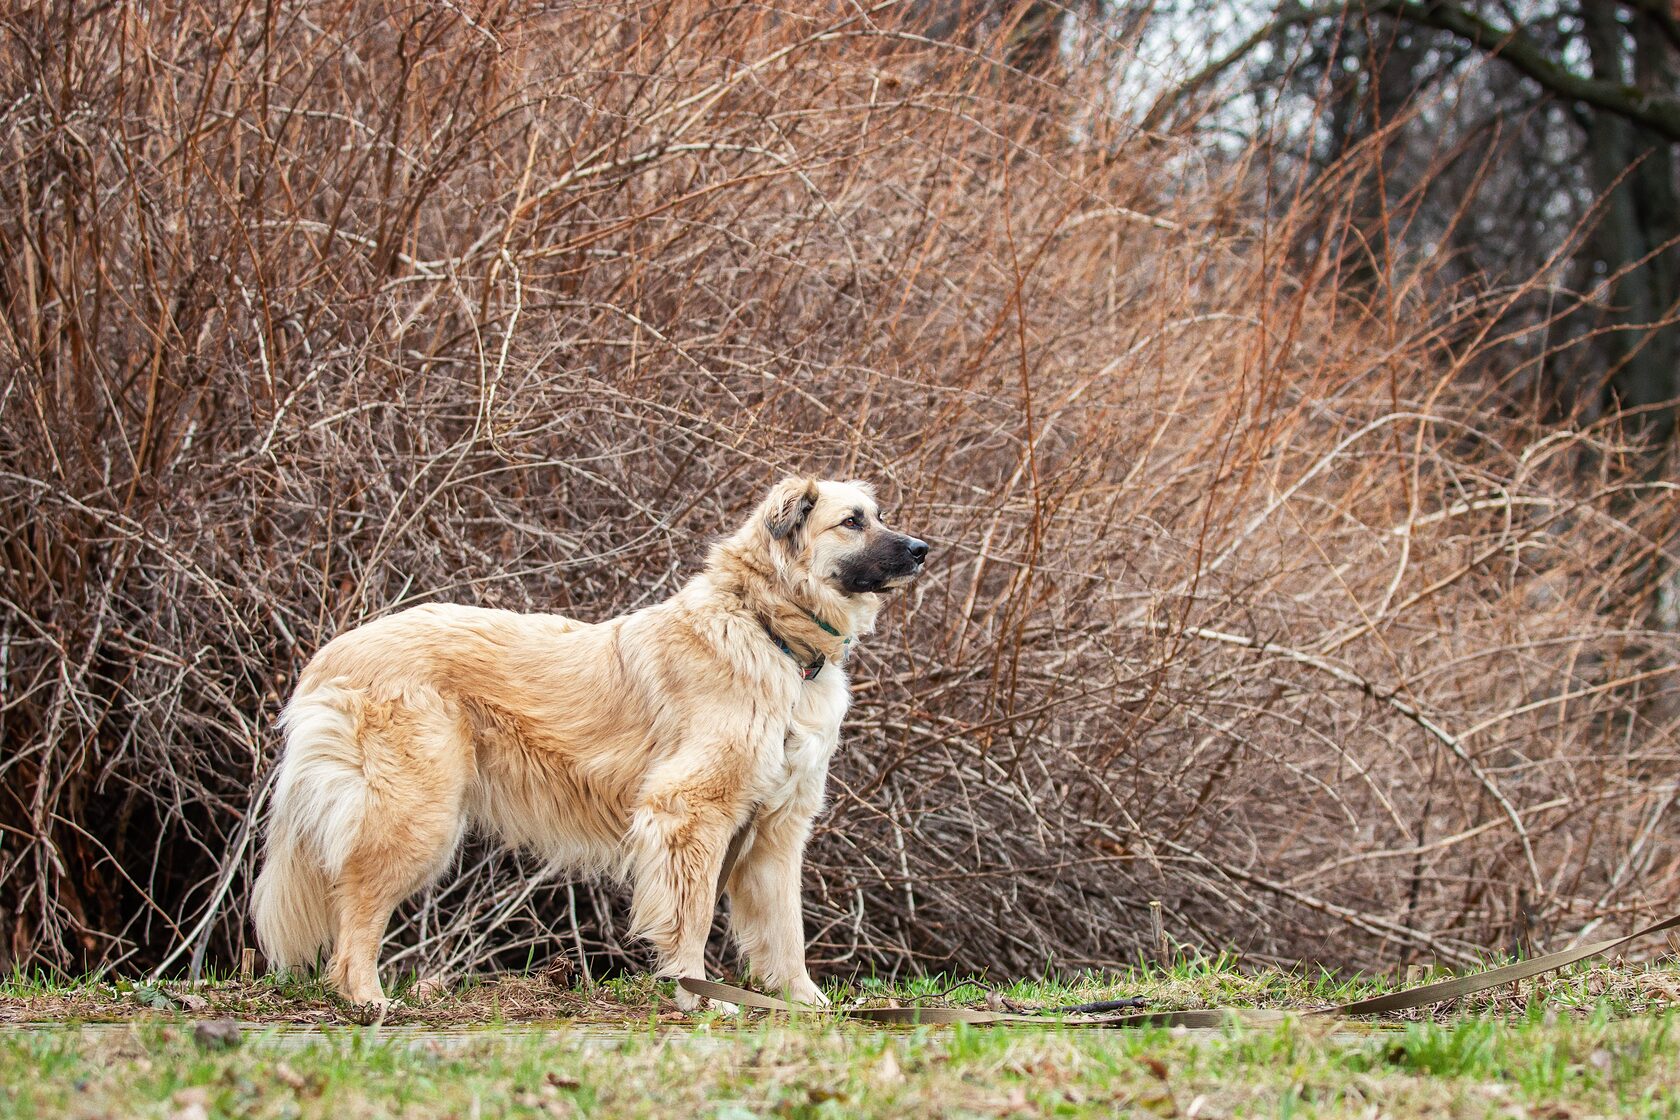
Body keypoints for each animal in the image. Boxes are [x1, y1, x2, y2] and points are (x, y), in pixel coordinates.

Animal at [255, 476, 927, 1007]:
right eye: (853, 521)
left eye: (879, 514)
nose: (923, 549)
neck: (768, 631)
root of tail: (332, 655)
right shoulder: (689, 815)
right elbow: (691, 918)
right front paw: (698, 995)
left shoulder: (774, 833)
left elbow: (785, 929)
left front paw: (803, 1002)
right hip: (416, 818)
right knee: (355, 921)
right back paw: (369, 1001)